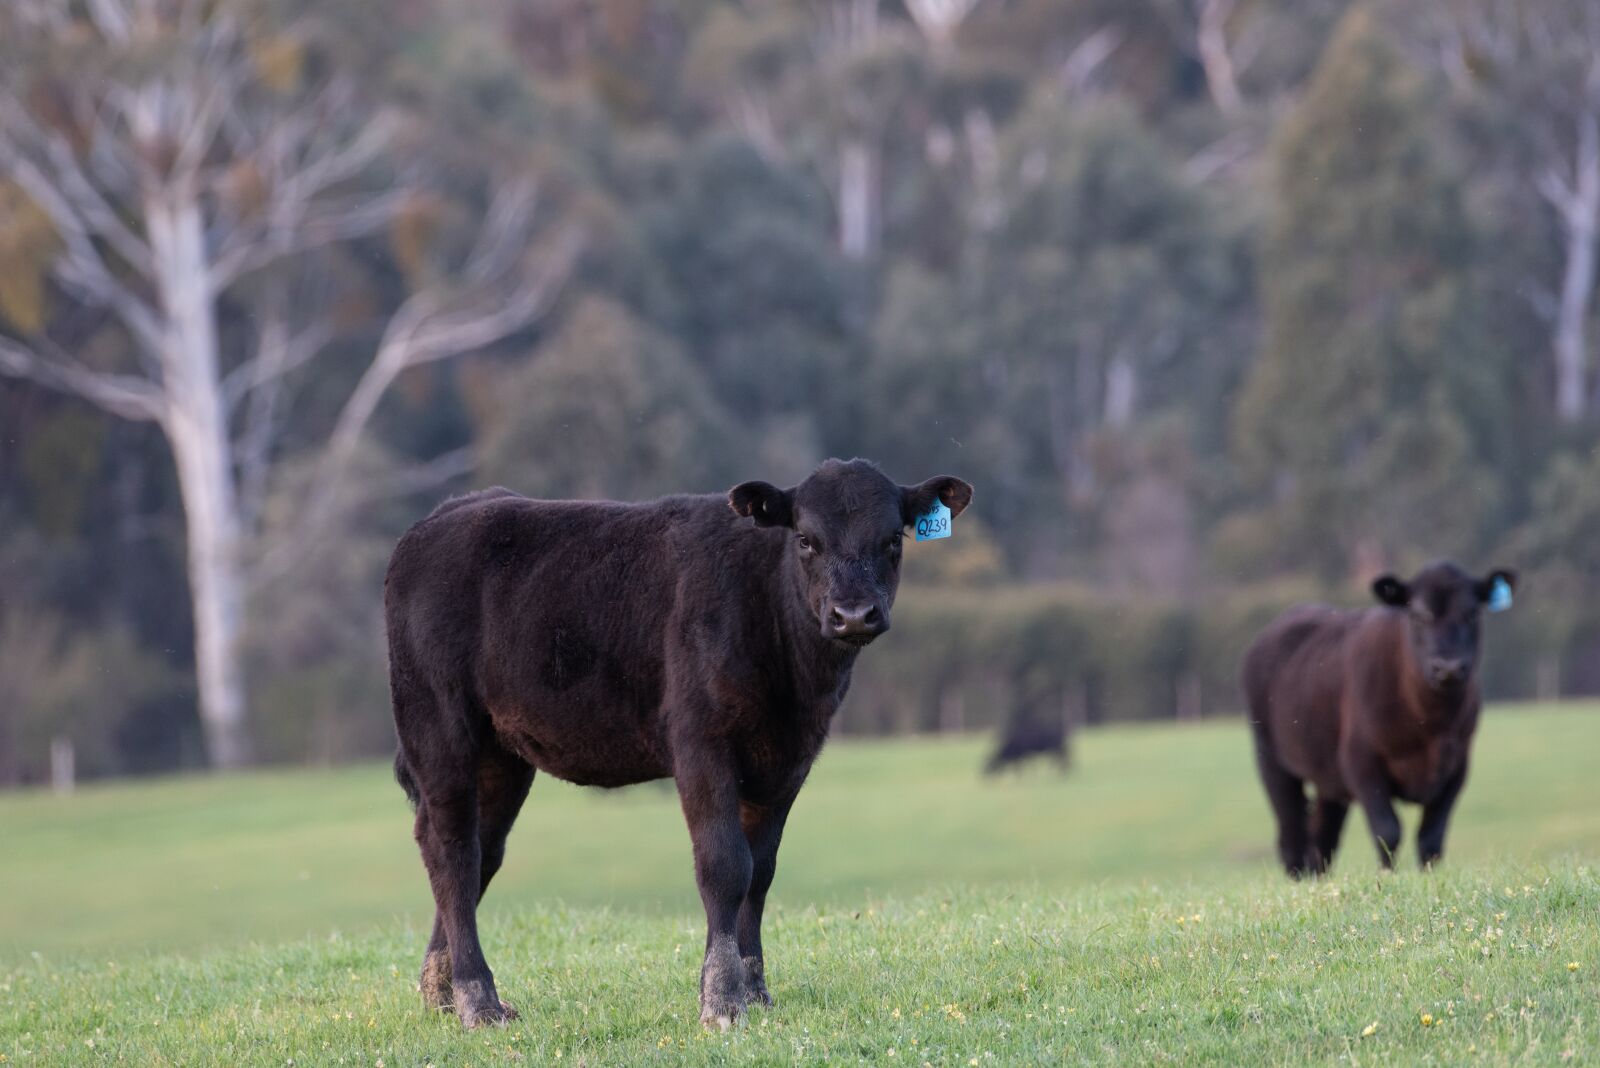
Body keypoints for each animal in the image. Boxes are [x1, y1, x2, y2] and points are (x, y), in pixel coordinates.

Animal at [384, 459, 973, 1030]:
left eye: (893, 539)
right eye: (807, 539)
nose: (853, 614)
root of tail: (447, 515)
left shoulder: (789, 758)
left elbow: (761, 871)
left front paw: (755, 989)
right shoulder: (700, 742)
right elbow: (725, 864)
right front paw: (722, 998)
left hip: (501, 755)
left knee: (482, 849)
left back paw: (442, 991)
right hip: (438, 725)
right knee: (453, 851)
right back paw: (477, 999)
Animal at [1241, 561, 1516, 877]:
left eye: (1472, 613)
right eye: (1418, 615)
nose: (1448, 667)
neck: (1430, 725)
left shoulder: (1457, 766)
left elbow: (1431, 836)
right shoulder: (1361, 762)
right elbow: (1388, 830)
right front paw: (1387, 876)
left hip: (1327, 776)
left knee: (1322, 836)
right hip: (1271, 759)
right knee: (1291, 831)